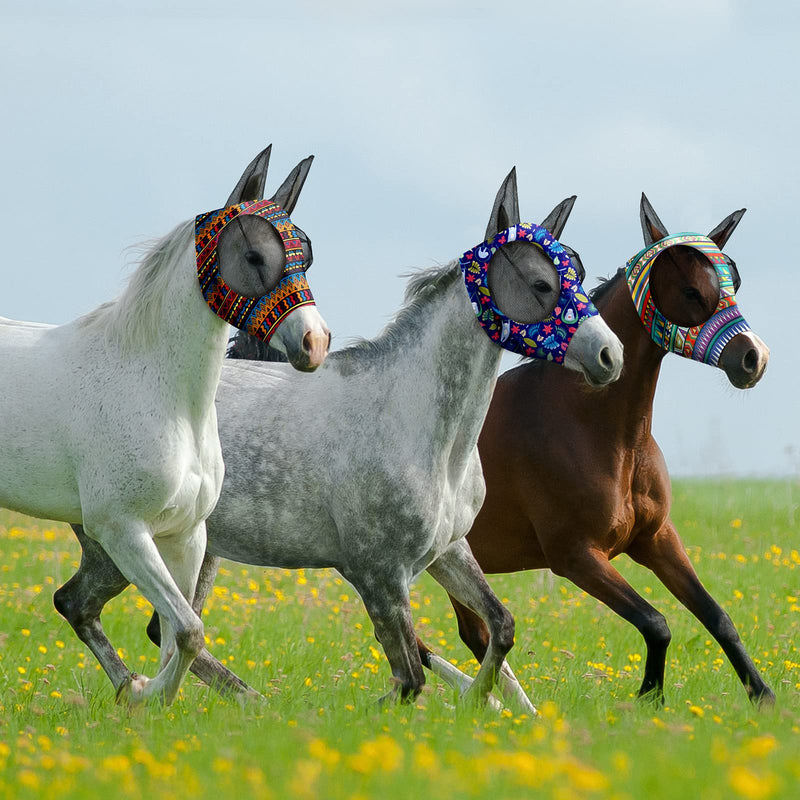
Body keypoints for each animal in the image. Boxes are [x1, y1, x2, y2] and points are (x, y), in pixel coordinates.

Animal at [1, 145, 329, 704]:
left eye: (305, 254)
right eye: (253, 256)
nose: (315, 343)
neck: (161, 391)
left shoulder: (186, 536)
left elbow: (179, 635)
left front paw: (146, 700)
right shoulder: (123, 531)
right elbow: (187, 630)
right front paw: (142, 695)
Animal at [55, 168, 625, 708]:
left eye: (576, 270)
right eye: (541, 284)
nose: (609, 356)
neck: (420, 429)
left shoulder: (448, 551)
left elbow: (500, 627)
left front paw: (487, 705)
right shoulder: (377, 574)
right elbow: (409, 677)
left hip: (191, 548)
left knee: (147, 623)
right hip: (121, 541)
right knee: (85, 606)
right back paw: (162, 694)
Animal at [420, 193, 774, 708]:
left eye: (735, 280)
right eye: (691, 290)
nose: (754, 357)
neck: (604, 432)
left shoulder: (656, 538)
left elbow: (718, 617)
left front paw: (763, 697)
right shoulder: (578, 557)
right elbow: (657, 623)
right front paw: (649, 698)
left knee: (472, 634)